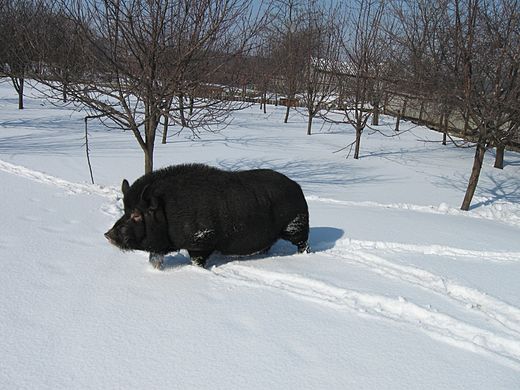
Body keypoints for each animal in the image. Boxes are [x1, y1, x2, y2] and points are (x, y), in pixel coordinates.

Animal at [104, 164, 310, 268]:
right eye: (125, 211)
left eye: (137, 215)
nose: (107, 235)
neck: (167, 212)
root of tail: (297, 187)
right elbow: (154, 259)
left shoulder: (202, 241)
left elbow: (197, 261)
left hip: (296, 226)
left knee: (303, 244)